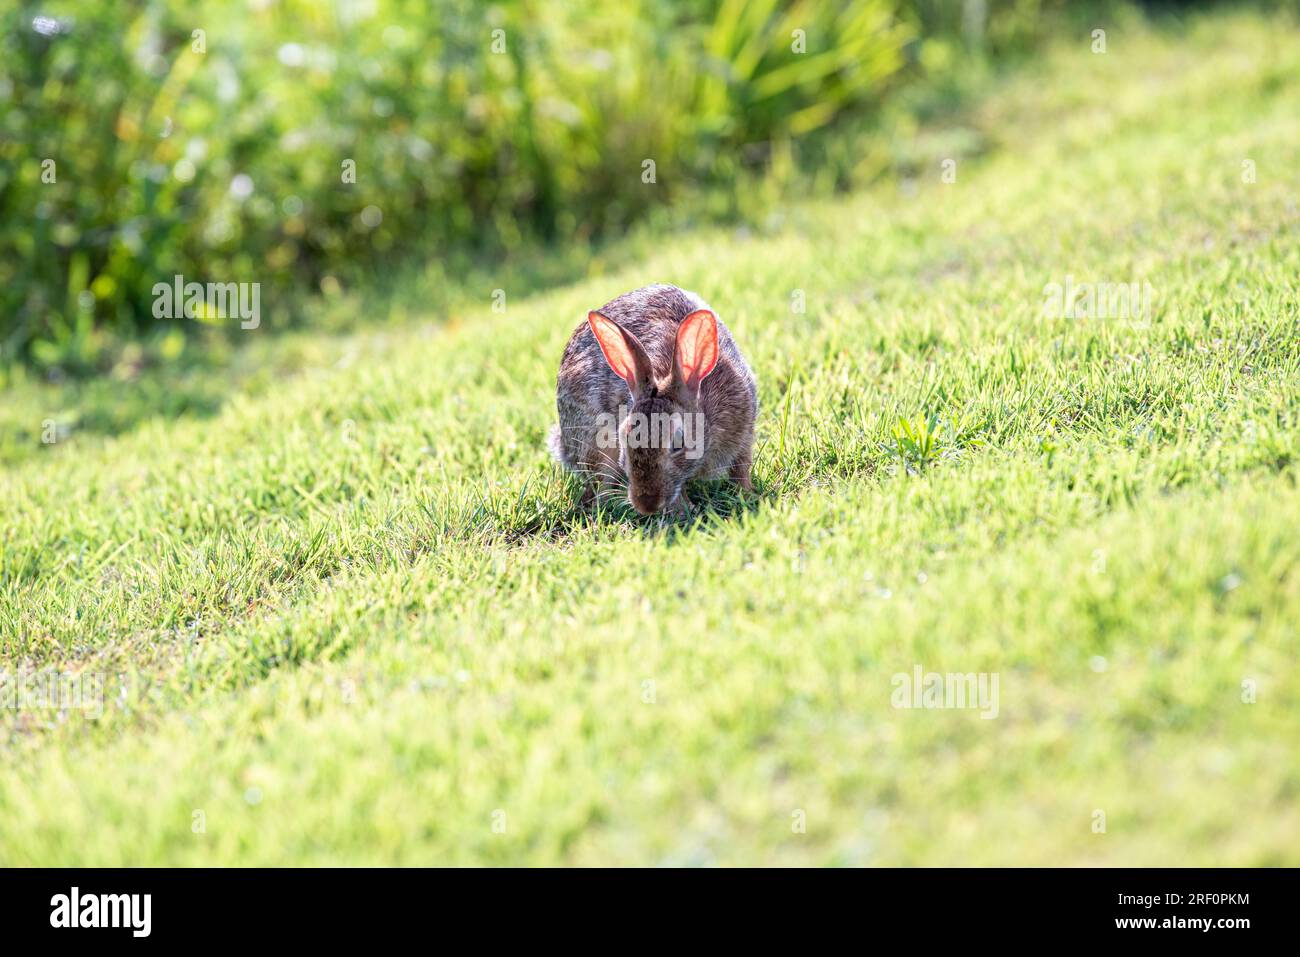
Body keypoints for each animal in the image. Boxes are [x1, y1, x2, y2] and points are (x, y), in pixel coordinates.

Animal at [550, 283, 757, 515]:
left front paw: (746, 493)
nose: (646, 505)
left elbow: (741, 467)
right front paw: (683, 511)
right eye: (623, 439)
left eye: (679, 443)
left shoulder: (745, 428)